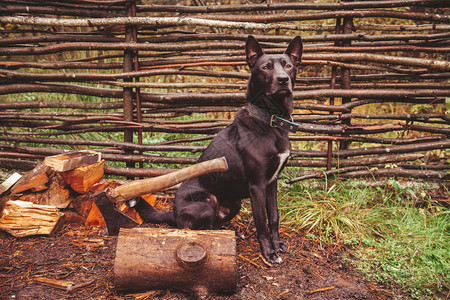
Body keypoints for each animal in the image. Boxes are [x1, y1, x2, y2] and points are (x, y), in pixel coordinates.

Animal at [132, 36, 304, 264]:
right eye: (266, 67)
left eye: (288, 66)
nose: (283, 80)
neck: (270, 121)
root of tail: (174, 212)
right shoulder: (257, 186)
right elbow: (261, 223)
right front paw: (268, 253)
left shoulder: (271, 183)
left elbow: (274, 218)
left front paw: (277, 246)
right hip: (208, 200)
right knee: (195, 229)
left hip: (234, 203)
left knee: (213, 223)